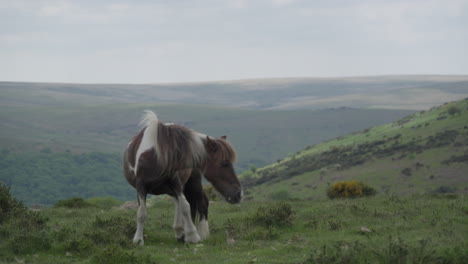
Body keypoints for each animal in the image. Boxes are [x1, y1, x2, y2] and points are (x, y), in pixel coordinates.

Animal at [122, 110, 243, 244]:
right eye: (224, 163)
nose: (239, 194)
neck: (156, 156)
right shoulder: (141, 187)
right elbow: (141, 213)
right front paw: (138, 240)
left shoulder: (176, 184)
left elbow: (186, 207)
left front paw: (193, 236)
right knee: (179, 203)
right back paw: (180, 231)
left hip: (192, 182)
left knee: (201, 201)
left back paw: (201, 233)